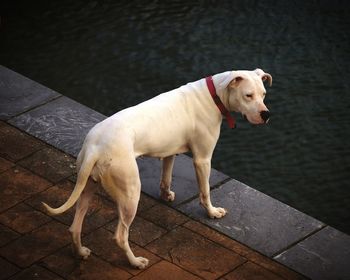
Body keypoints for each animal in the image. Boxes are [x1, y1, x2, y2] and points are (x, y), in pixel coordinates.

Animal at [43, 68, 272, 270]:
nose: (266, 114)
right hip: (130, 194)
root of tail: (94, 147)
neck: (213, 94)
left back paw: (80, 252)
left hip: (88, 186)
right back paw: (135, 262)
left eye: (264, 94)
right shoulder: (202, 159)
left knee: (75, 226)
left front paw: (166, 195)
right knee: (120, 236)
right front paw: (212, 212)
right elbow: (205, 191)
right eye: (248, 95)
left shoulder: (170, 151)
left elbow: (166, 177)